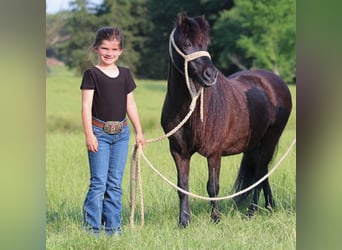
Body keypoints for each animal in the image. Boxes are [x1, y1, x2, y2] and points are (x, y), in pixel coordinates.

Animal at [160, 14, 292, 228]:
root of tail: (275, 81)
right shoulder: (179, 152)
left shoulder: (214, 153)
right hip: (254, 145)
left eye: (205, 43)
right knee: (262, 172)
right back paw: (270, 207)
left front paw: (216, 218)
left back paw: (252, 211)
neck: (190, 110)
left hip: (270, 140)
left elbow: (212, 186)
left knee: (259, 172)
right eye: (187, 43)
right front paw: (184, 221)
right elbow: (182, 186)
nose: (210, 75)